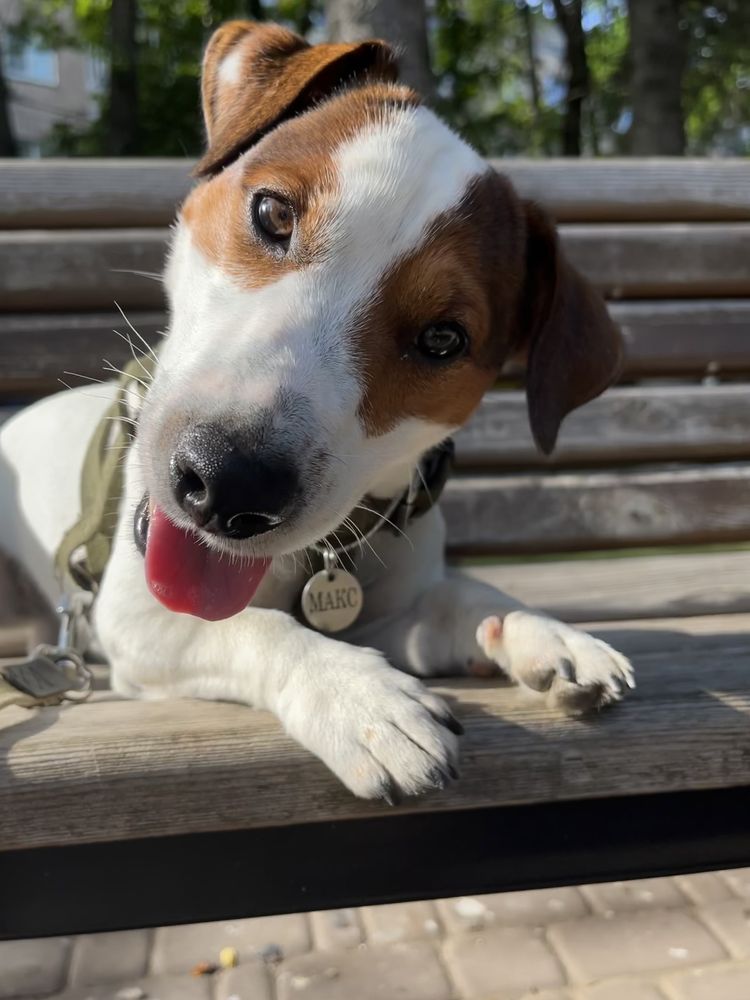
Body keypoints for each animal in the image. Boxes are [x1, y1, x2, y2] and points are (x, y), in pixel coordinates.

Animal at [0, 21, 636, 804]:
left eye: (443, 339)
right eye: (272, 212)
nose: (231, 480)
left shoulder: (396, 613)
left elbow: (459, 599)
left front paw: (541, 633)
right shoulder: (139, 620)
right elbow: (256, 629)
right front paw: (360, 699)